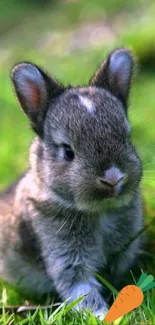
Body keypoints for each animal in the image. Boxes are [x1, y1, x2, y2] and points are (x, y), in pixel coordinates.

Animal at [0, 47, 143, 316]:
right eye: (68, 152)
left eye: (127, 137)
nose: (112, 178)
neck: (100, 212)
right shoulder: (66, 257)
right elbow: (80, 288)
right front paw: (104, 316)